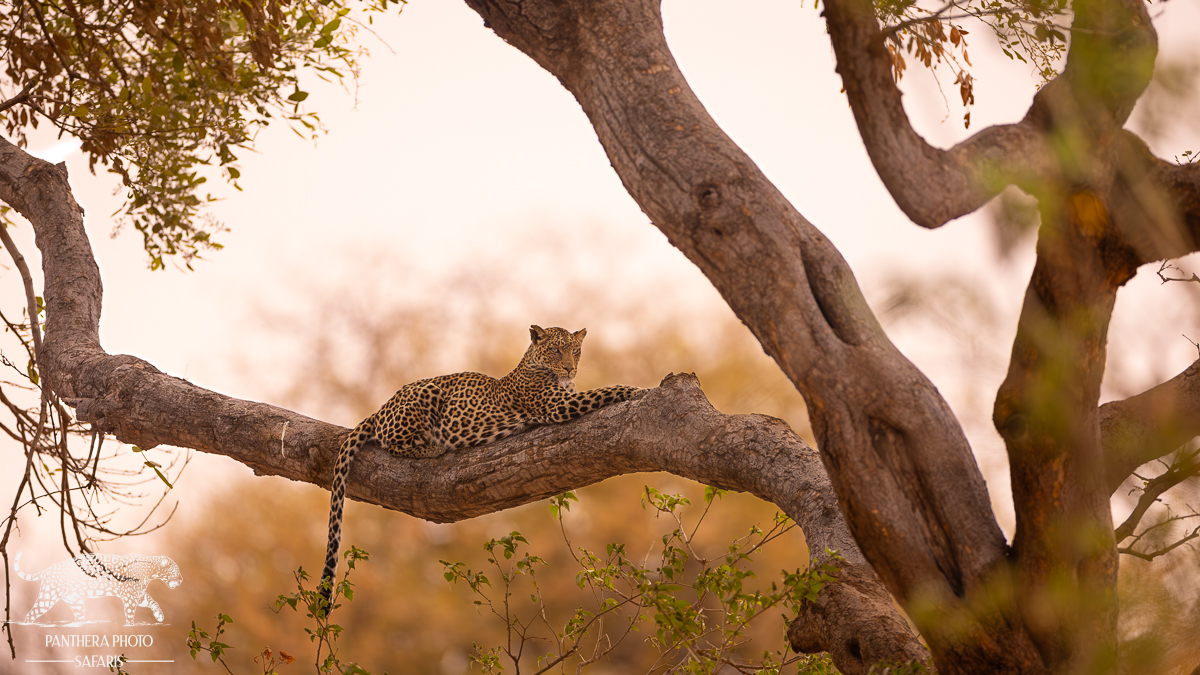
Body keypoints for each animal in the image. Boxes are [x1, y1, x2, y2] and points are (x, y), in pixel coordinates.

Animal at [14, 551, 182, 625]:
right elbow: (130, 614)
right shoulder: (130, 597)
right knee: (31, 615)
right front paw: (130, 626)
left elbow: (153, 601)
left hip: (76, 602)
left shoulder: (138, 595)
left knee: (79, 617)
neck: (151, 572)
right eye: (177, 571)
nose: (181, 580)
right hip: (48, 597)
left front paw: (159, 615)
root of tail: (48, 569)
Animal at [321, 325, 641, 599]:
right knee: (393, 444)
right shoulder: (558, 405)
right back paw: (435, 447)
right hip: (426, 392)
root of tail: (380, 408)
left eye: (576, 351)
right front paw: (639, 390)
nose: (570, 368)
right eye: (555, 350)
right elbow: (605, 390)